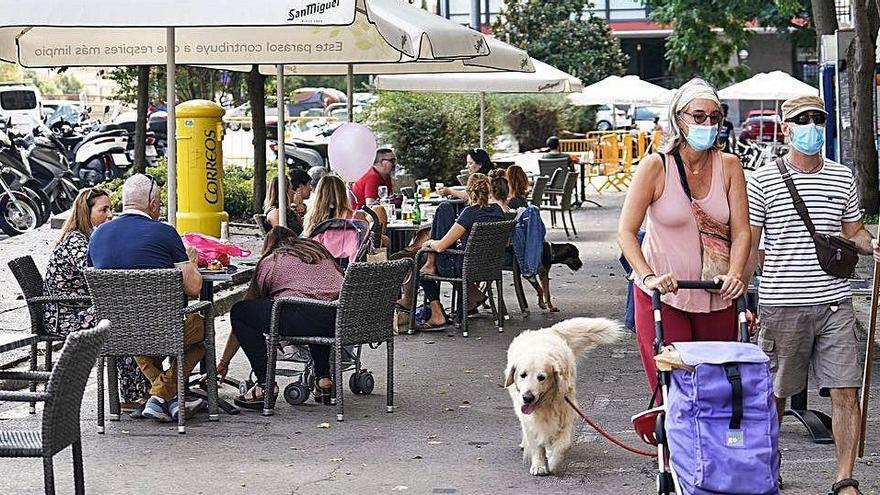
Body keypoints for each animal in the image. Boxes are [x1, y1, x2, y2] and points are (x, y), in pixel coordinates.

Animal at [506, 318, 624, 476]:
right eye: (522, 375)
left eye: (541, 377)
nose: (527, 397)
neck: (545, 405)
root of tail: (546, 330)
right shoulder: (529, 418)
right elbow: (536, 444)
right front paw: (539, 465)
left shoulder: (566, 411)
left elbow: (564, 444)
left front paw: (552, 461)